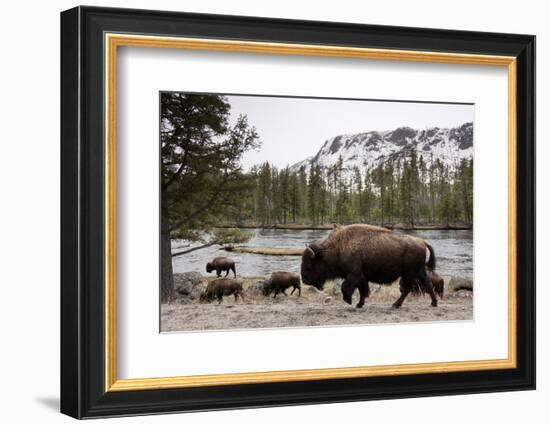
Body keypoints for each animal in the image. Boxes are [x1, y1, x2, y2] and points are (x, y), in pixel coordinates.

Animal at [300, 225, 438, 308]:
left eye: (309, 265)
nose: (304, 280)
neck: (338, 248)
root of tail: (422, 242)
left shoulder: (355, 274)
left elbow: (346, 287)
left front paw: (349, 300)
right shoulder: (362, 277)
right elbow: (362, 290)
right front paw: (359, 304)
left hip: (409, 273)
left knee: (408, 289)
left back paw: (395, 305)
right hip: (418, 272)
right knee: (427, 284)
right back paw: (433, 303)